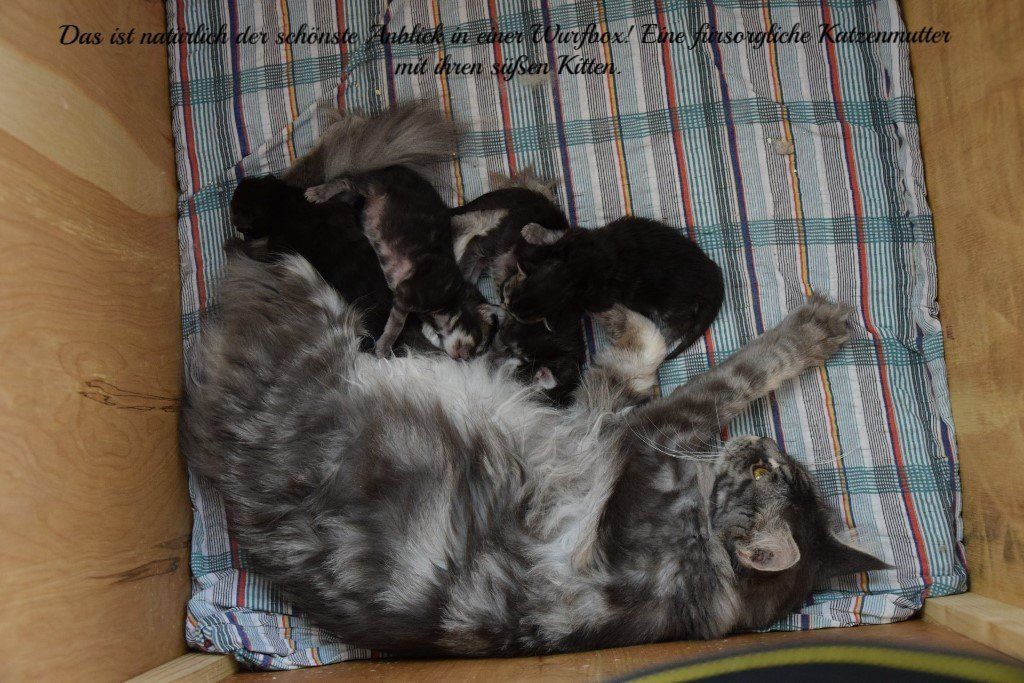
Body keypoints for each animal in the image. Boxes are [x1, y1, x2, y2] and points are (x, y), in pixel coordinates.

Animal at [183, 248, 888, 658]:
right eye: (775, 467)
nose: (759, 443)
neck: (700, 558)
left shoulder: (627, 433)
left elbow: (727, 376)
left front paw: (803, 332)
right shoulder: (617, 426)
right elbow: (653, 358)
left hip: (314, 314)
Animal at [504, 216, 725, 360]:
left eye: (515, 314)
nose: (505, 307)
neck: (573, 273)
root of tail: (714, 275)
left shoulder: (597, 299)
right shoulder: (578, 239)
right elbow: (557, 236)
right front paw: (534, 231)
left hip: (669, 303)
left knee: (683, 323)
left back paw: (665, 333)